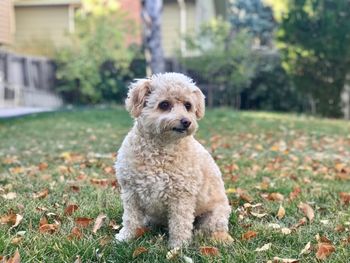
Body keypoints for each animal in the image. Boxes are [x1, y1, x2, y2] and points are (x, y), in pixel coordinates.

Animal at [115, 72, 234, 250]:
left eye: (188, 105)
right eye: (164, 104)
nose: (186, 121)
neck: (160, 151)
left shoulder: (181, 196)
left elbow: (180, 224)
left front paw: (178, 247)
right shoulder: (131, 192)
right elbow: (130, 218)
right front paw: (125, 237)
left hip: (214, 216)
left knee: (211, 229)